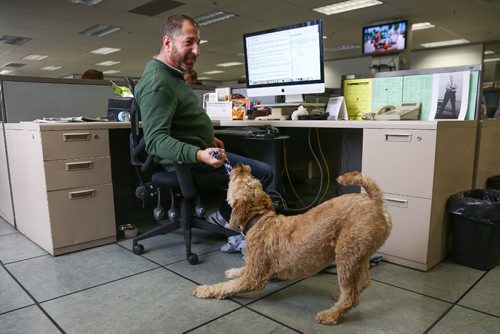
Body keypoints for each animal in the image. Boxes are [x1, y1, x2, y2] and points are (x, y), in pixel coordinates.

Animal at [193, 164, 392, 326]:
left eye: (244, 180)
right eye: (254, 180)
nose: (240, 165)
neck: (260, 220)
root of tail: (374, 200)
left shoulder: (255, 277)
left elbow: (227, 286)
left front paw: (205, 289)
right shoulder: (256, 267)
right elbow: (241, 270)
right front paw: (233, 271)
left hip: (346, 252)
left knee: (351, 297)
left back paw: (330, 315)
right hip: (359, 251)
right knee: (363, 282)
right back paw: (340, 295)